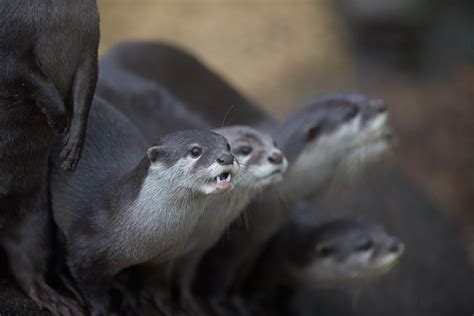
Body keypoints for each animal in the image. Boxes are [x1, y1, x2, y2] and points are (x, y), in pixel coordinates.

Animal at [0, 1, 98, 314]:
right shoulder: (9, 45)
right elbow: (23, 75)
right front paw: (58, 117)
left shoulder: (90, 45)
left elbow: (87, 86)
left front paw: (73, 146)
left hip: (37, 214)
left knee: (28, 265)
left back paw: (57, 300)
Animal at [50, 97, 239, 316]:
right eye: (195, 151)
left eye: (227, 145)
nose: (226, 157)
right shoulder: (85, 249)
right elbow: (92, 286)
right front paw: (102, 308)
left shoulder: (158, 259)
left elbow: (138, 282)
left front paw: (132, 303)